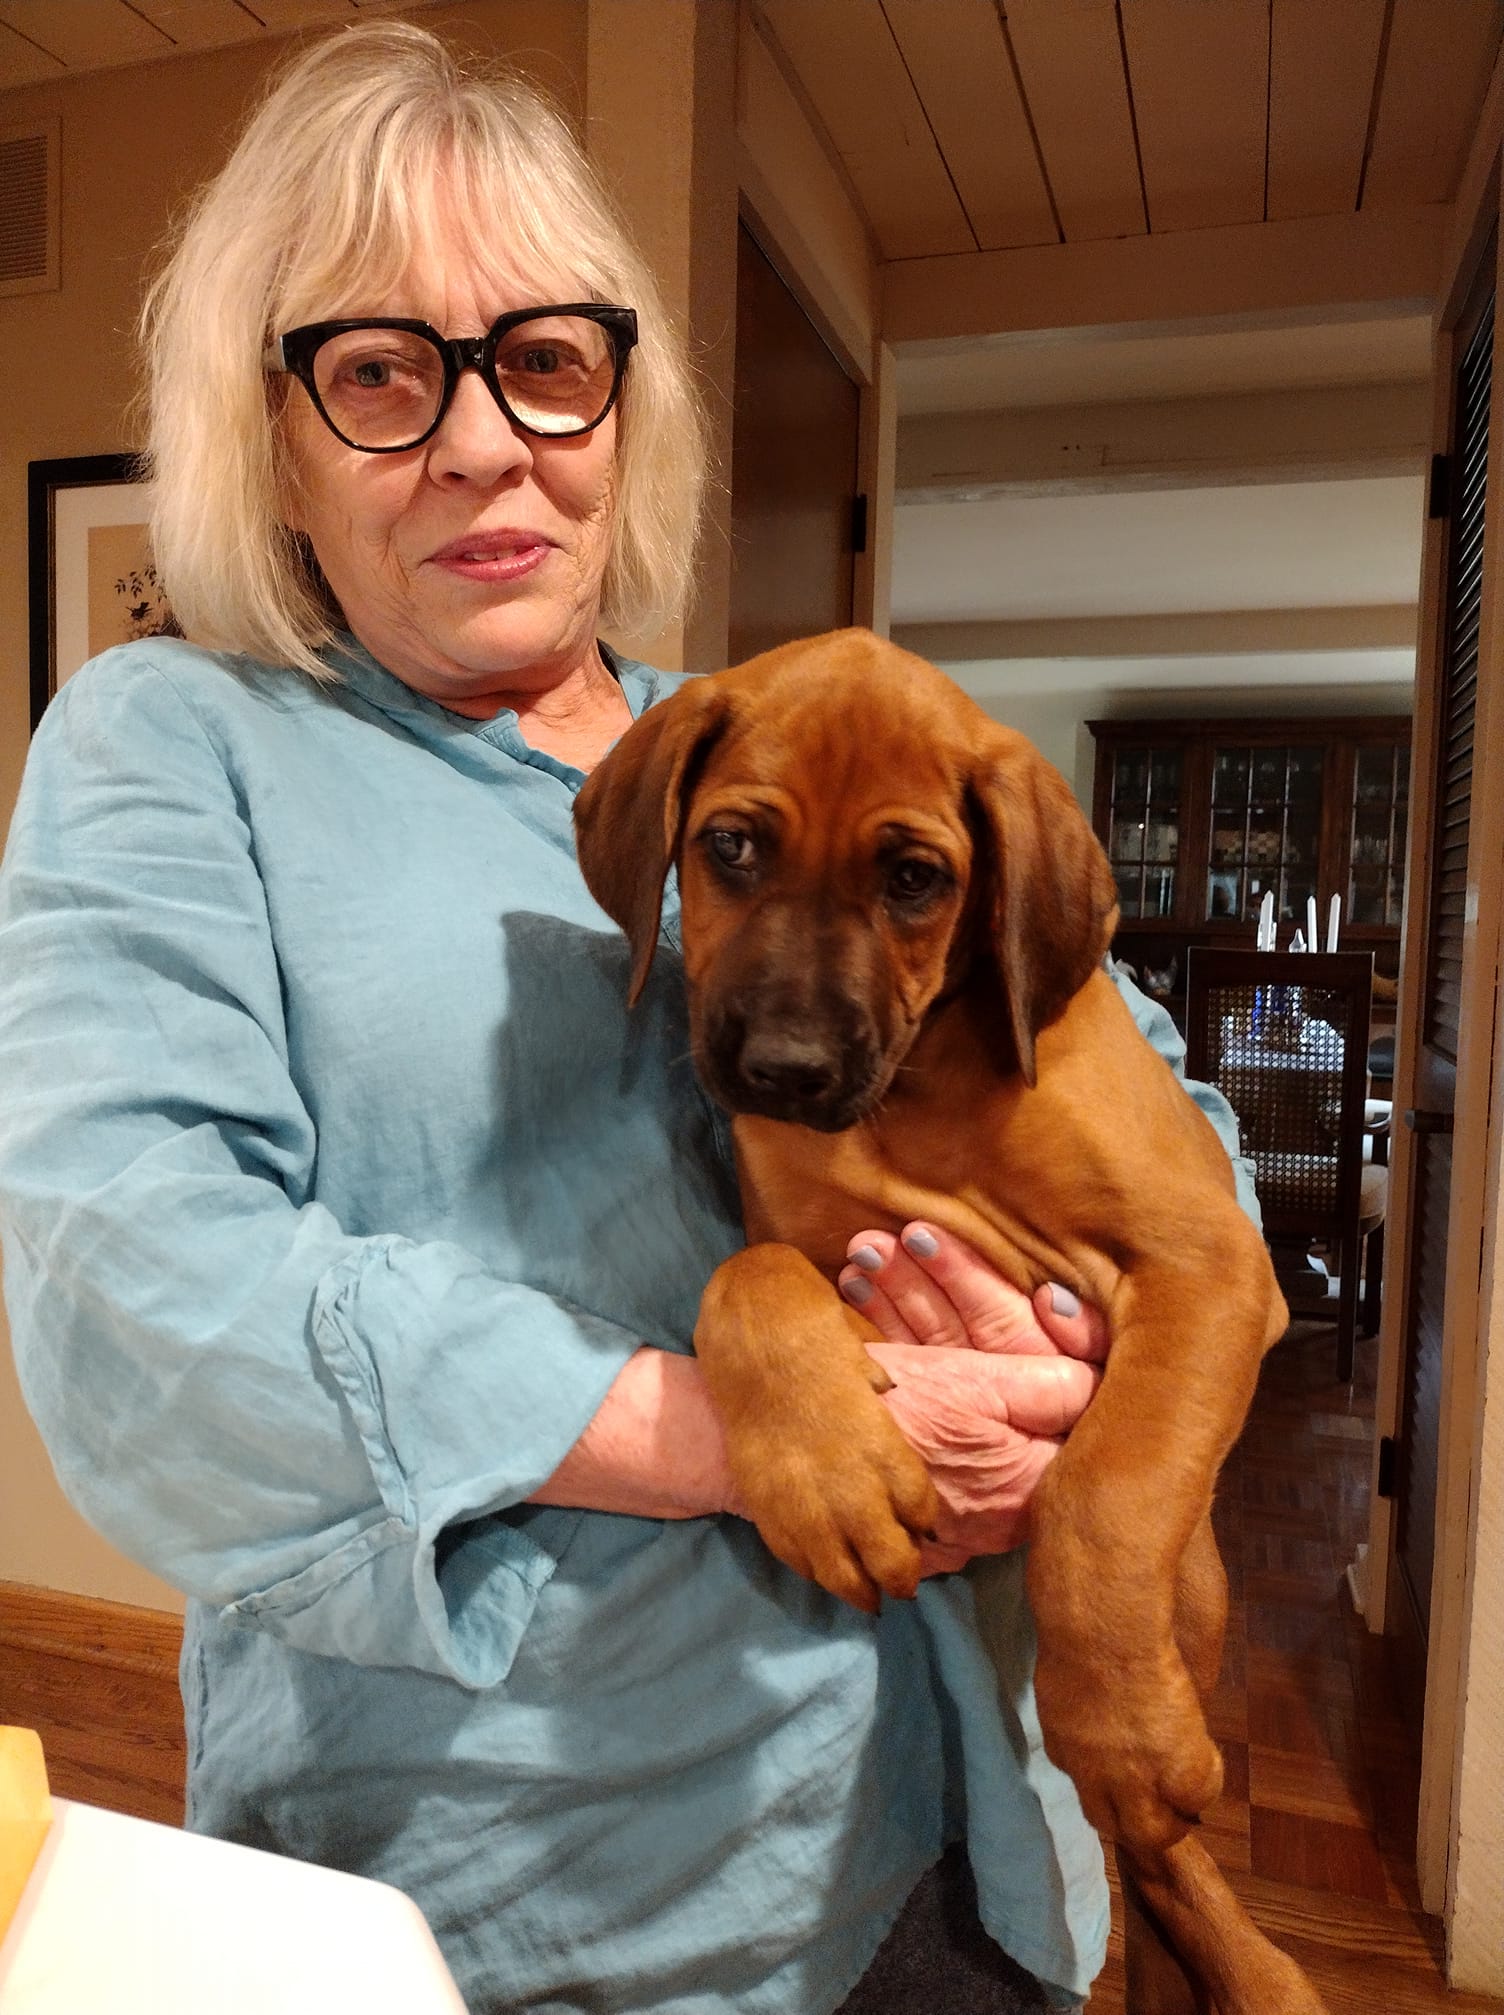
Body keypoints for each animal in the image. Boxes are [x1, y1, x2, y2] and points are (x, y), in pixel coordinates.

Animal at [574, 629, 1327, 2014]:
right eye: (730, 846)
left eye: (917, 878)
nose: (784, 1069)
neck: (917, 1086)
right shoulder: (821, 1247)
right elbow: (744, 1279)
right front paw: (826, 1474)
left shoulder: (1209, 1265)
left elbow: (1105, 1494)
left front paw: (1123, 1734)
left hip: (1198, 1584)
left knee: (1164, 1840)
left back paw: (1240, 1949)